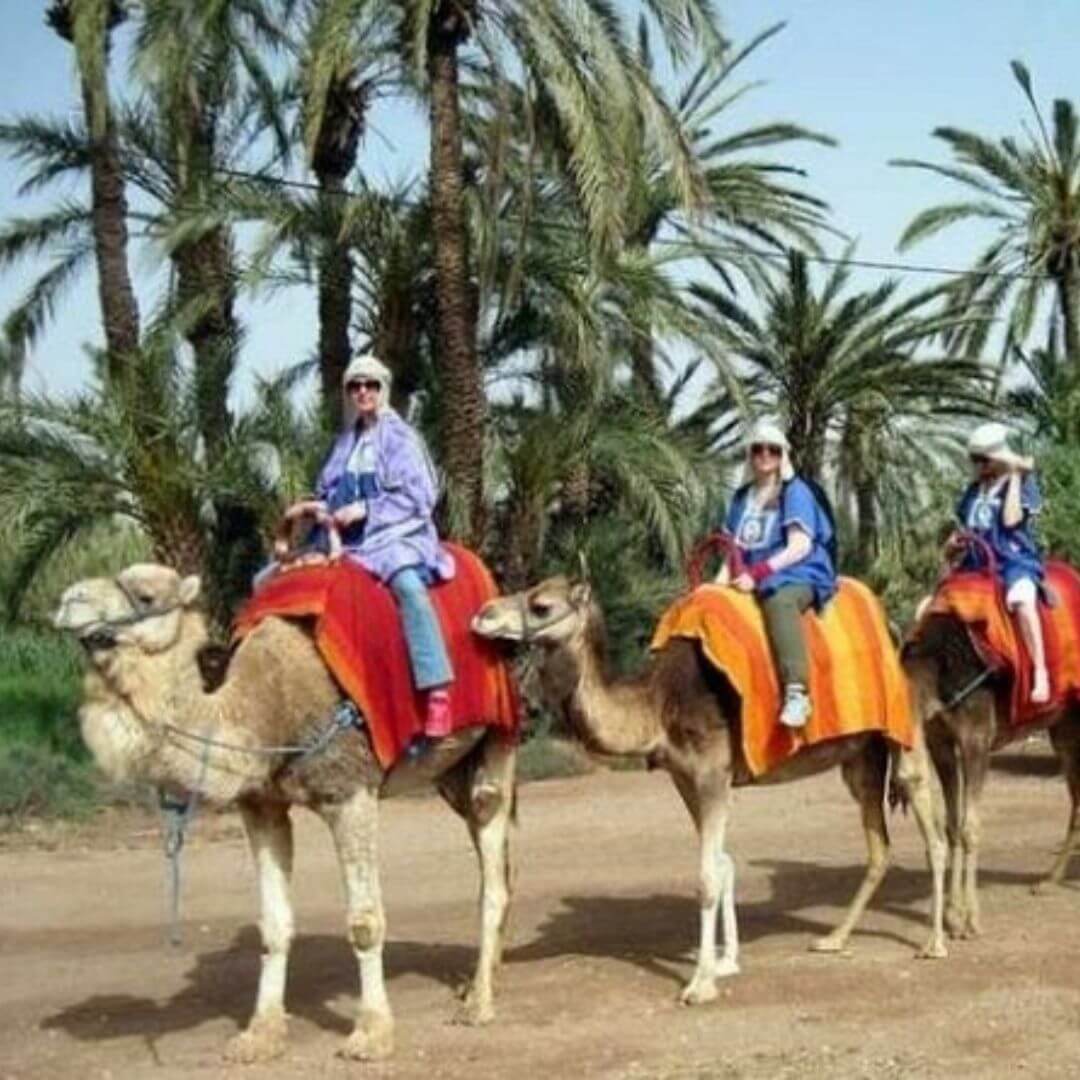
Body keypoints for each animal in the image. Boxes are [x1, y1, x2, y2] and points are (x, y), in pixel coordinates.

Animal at [52, 565, 516, 1062]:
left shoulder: (350, 789)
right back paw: (480, 982)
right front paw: (260, 1035)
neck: (261, 711)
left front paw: (371, 1034)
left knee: (492, 850)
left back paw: (479, 1003)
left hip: (500, 735)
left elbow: (364, 922)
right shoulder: (261, 805)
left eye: (145, 595)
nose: (68, 600)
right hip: (451, 769)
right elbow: (273, 925)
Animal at [477, 574, 950, 1002]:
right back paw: (834, 938)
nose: (484, 615)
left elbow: (705, 877)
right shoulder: (685, 778)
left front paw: (700, 984)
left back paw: (935, 942)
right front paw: (725, 962)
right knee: (879, 845)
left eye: (541, 605)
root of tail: (892, 627)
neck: (657, 705)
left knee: (931, 827)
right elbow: (722, 864)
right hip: (859, 756)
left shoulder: (712, 774)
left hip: (901, 727)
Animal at [902, 613, 1080, 933]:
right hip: (1064, 729)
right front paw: (952, 914)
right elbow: (953, 825)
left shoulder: (977, 738)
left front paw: (970, 918)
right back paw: (1048, 881)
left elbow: (970, 828)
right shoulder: (941, 742)